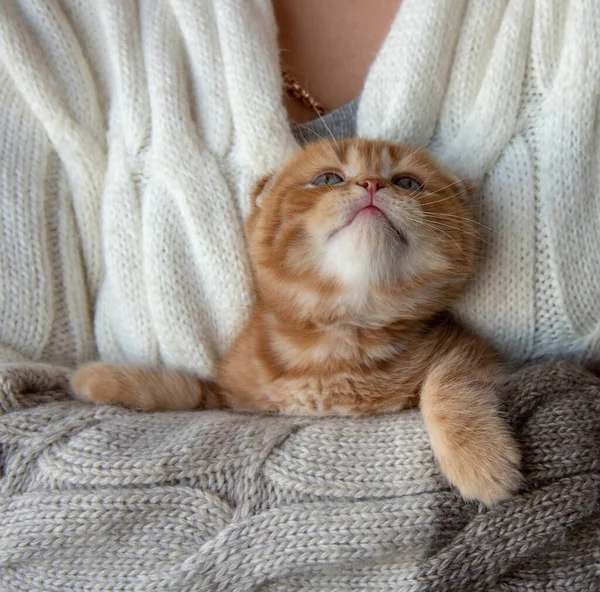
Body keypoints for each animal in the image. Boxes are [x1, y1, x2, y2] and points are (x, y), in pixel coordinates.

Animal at [71, 138, 520, 504]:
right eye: (328, 178)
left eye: (408, 183)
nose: (372, 184)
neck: (337, 341)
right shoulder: (232, 397)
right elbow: (184, 387)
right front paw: (100, 377)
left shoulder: (470, 348)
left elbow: (447, 384)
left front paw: (479, 459)